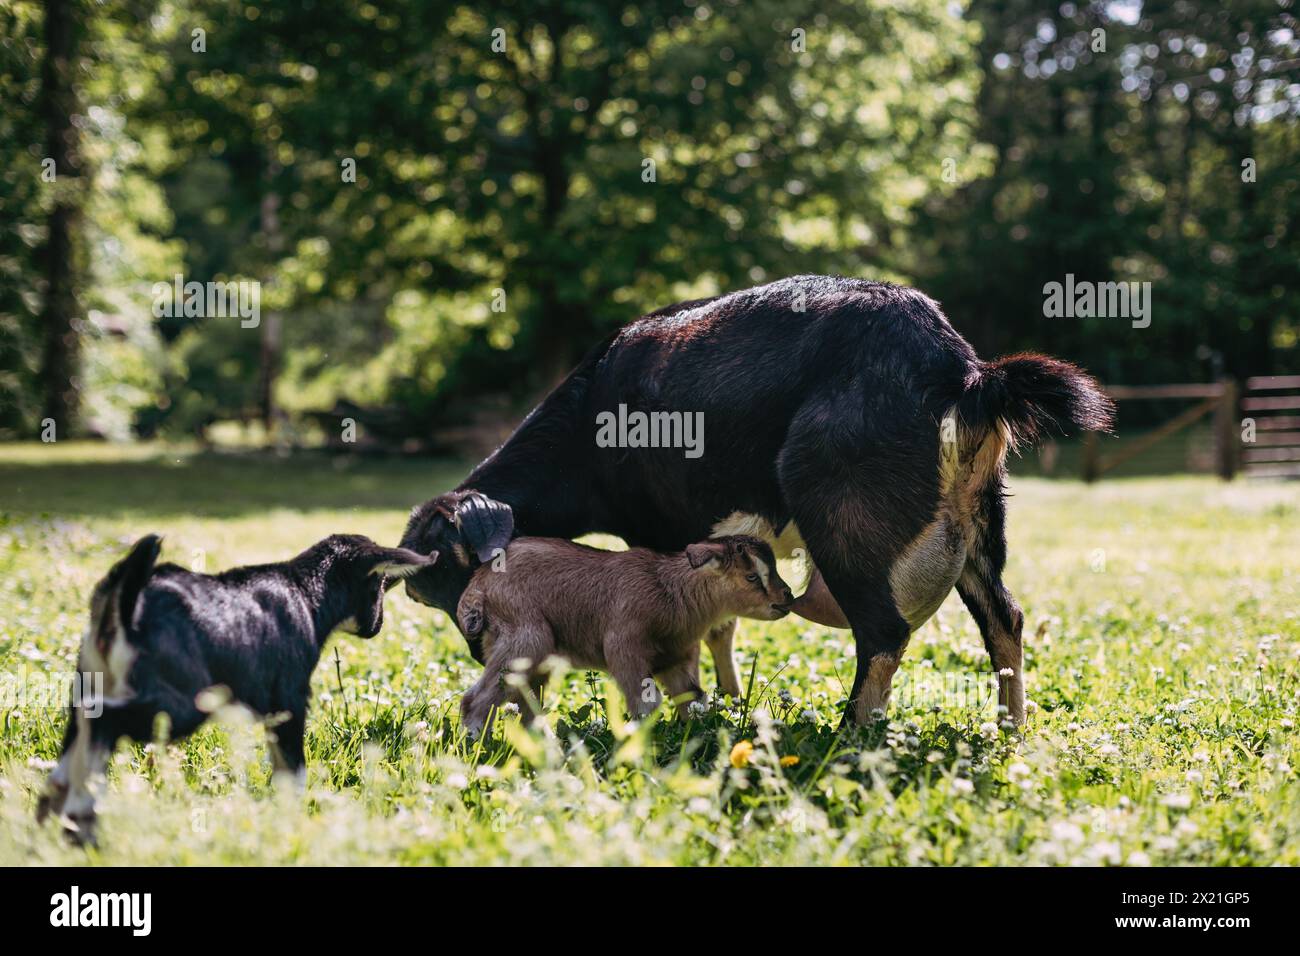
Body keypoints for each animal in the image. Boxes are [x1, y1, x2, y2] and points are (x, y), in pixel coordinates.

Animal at [400, 274, 1112, 723]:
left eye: (449, 565)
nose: (480, 645)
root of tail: (964, 374)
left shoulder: (660, 530)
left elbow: (695, 617)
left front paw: (695, 706)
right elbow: (723, 621)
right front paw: (728, 698)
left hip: (847, 518)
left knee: (883, 632)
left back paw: (852, 734)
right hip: (978, 519)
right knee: (1004, 619)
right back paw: (1010, 732)